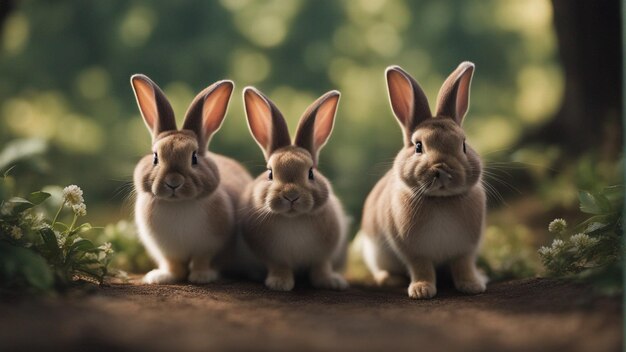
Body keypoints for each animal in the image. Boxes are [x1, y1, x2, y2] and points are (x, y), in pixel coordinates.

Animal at [129, 75, 251, 286]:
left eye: (194, 158)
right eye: (155, 157)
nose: (173, 182)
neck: (179, 204)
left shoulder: (209, 246)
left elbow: (202, 261)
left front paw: (202, 277)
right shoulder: (167, 250)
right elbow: (173, 265)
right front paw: (162, 277)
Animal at [238, 86, 348, 292]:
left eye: (311, 173)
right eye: (270, 173)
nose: (291, 196)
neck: (293, 219)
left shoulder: (323, 255)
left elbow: (321, 267)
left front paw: (330, 282)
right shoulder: (272, 257)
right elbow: (280, 267)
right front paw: (279, 284)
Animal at [358, 62, 486, 298]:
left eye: (463, 144)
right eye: (418, 146)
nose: (442, 169)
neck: (441, 200)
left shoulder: (465, 250)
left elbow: (463, 266)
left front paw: (473, 286)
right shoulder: (414, 252)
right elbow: (422, 268)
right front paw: (421, 291)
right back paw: (389, 280)